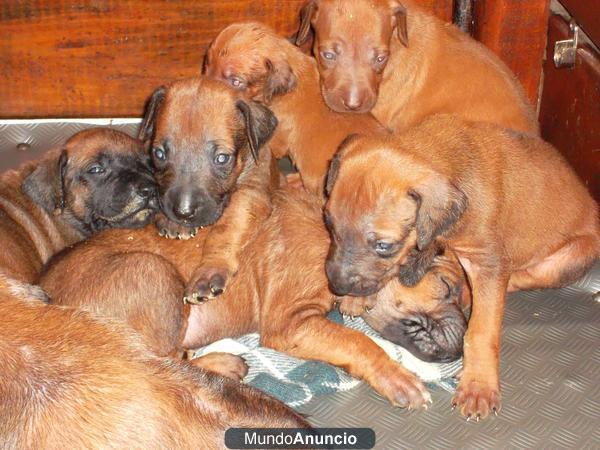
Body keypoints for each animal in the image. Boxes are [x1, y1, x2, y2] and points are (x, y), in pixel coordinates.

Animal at [41, 186, 468, 408]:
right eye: (447, 287)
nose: (464, 347)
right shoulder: (289, 323)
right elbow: (358, 342)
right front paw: (398, 379)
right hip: (153, 270)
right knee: (161, 365)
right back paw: (223, 364)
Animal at [324, 115, 600, 418]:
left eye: (384, 245)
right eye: (329, 224)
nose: (336, 285)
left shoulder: (487, 261)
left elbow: (482, 328)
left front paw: (479, 385)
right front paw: (356, 298)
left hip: (565, 261)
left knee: (518, 279)